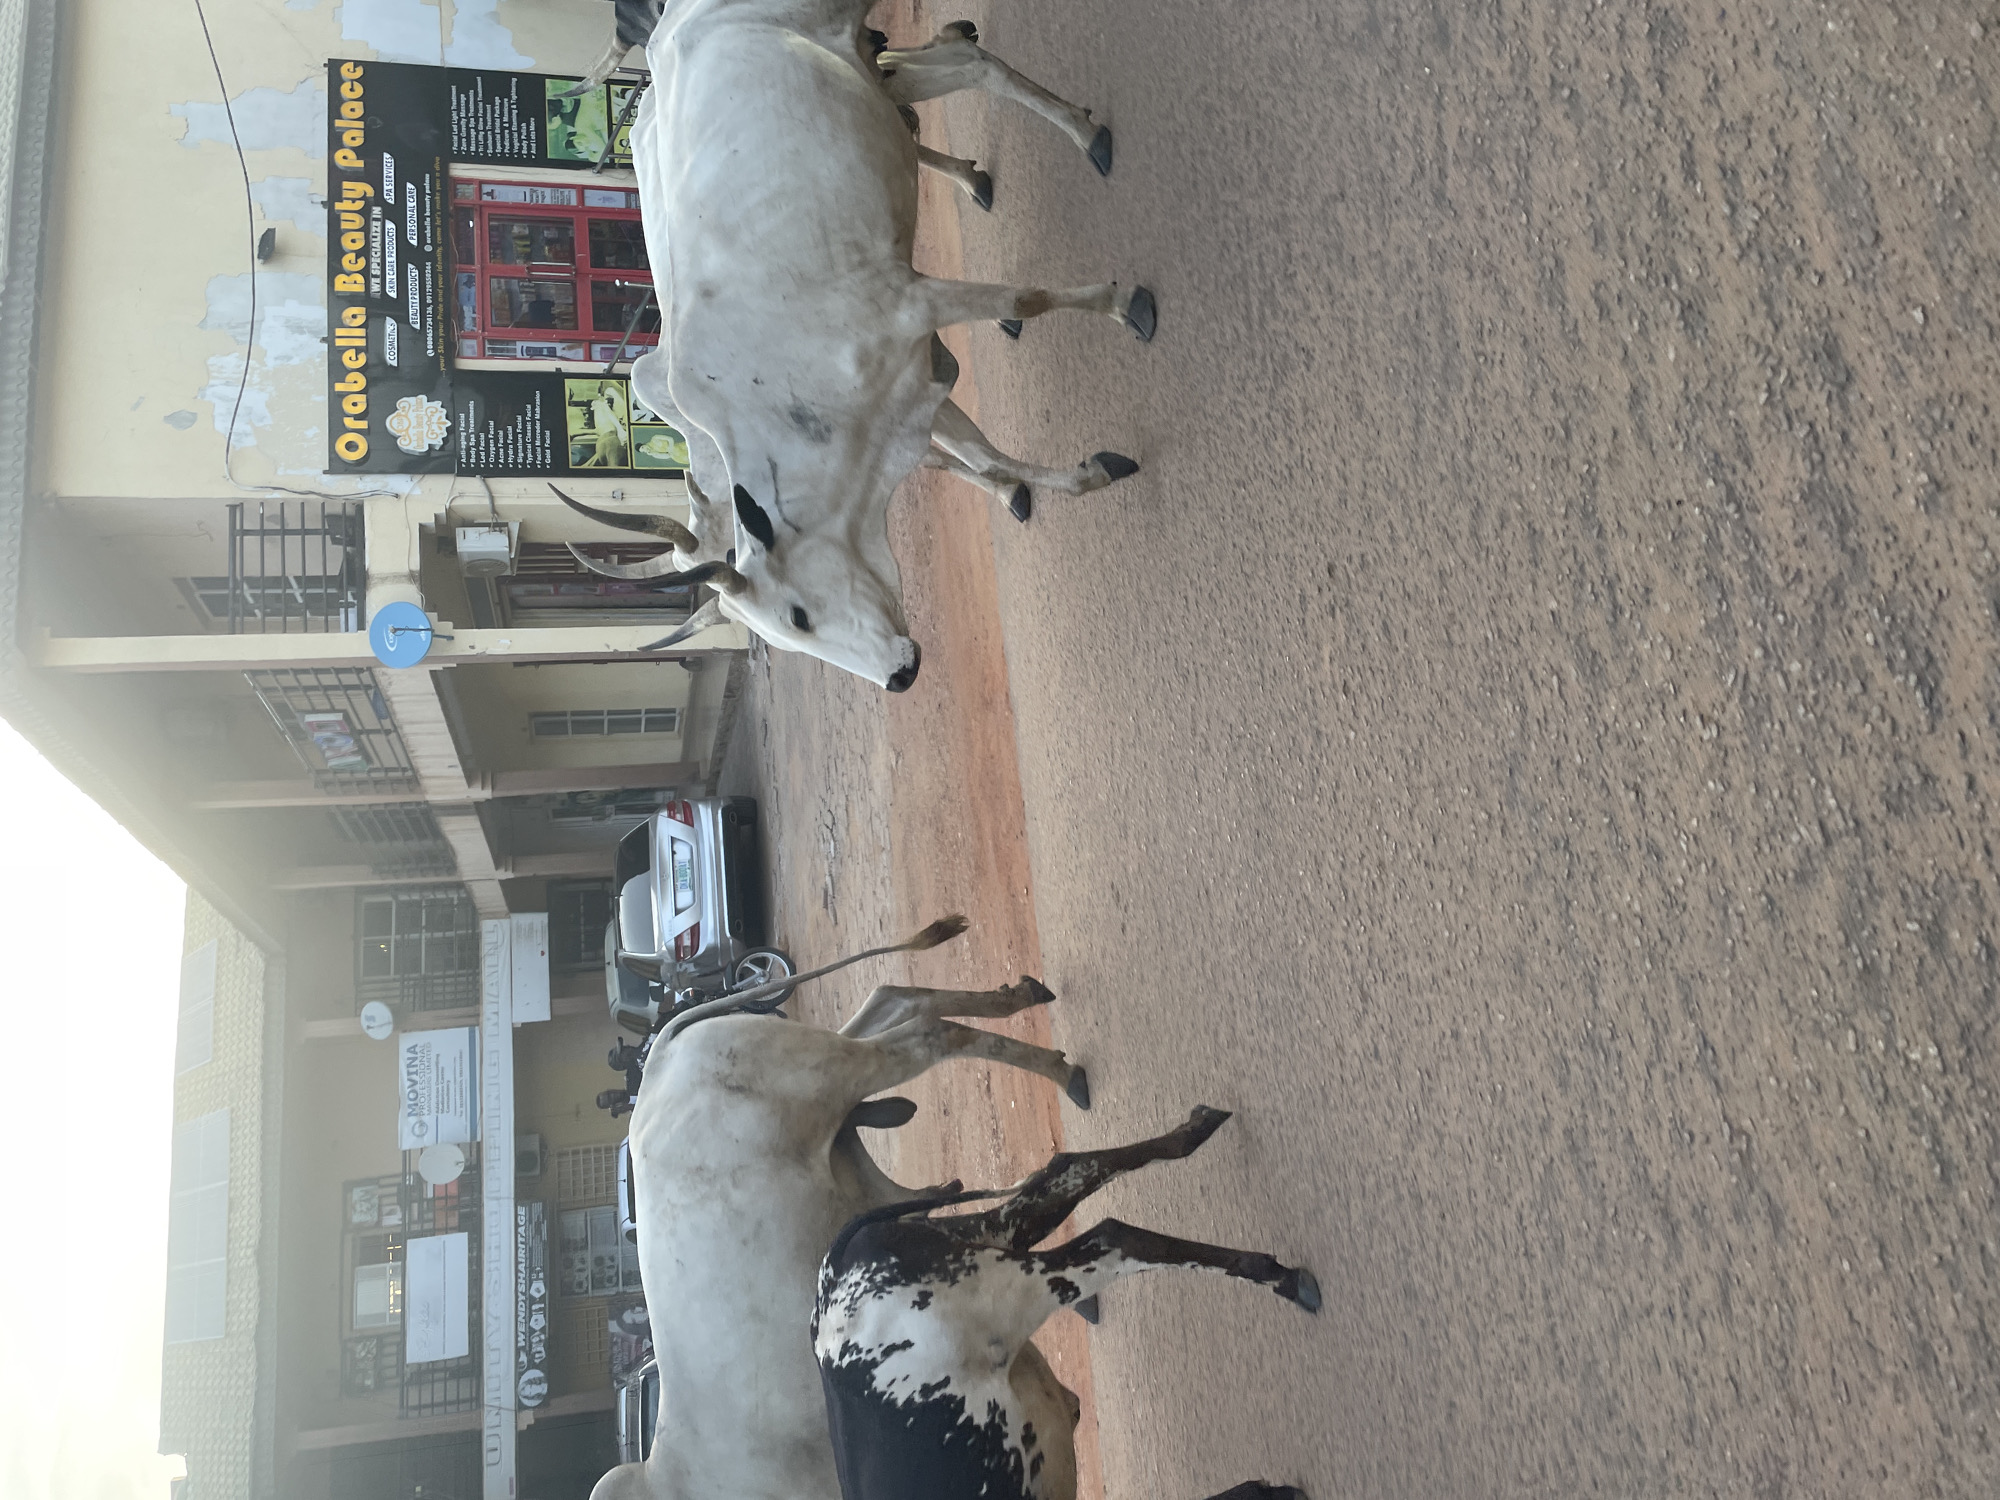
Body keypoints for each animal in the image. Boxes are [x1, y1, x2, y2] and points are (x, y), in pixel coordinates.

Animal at [554, 0, 1156, 690]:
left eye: (799, 615)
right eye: (787, 640)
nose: (900, 676)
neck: (775, 385)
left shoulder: (913, 304)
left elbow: (1023, 300)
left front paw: (1125, 304)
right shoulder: (912, 388)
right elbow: (976, 454)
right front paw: (1068, 479)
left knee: (976, 66)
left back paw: (1084, 134)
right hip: (866, 71)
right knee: (953, 64)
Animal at [586, 916, 1094, 1500]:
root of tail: (659, 1060)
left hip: (828, 1072)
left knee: (924, 1031)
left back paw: (1060, 1070)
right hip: (832, 1081)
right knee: (896, 1001)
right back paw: (1027, 1005)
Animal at [812, 1106, 1319, 1500]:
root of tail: (839, 1266)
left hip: (1021, 1287)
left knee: (1112, 1234)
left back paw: (1281, 1277)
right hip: (996, 1234)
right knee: (1071, 1168)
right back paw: (1196, 1129)